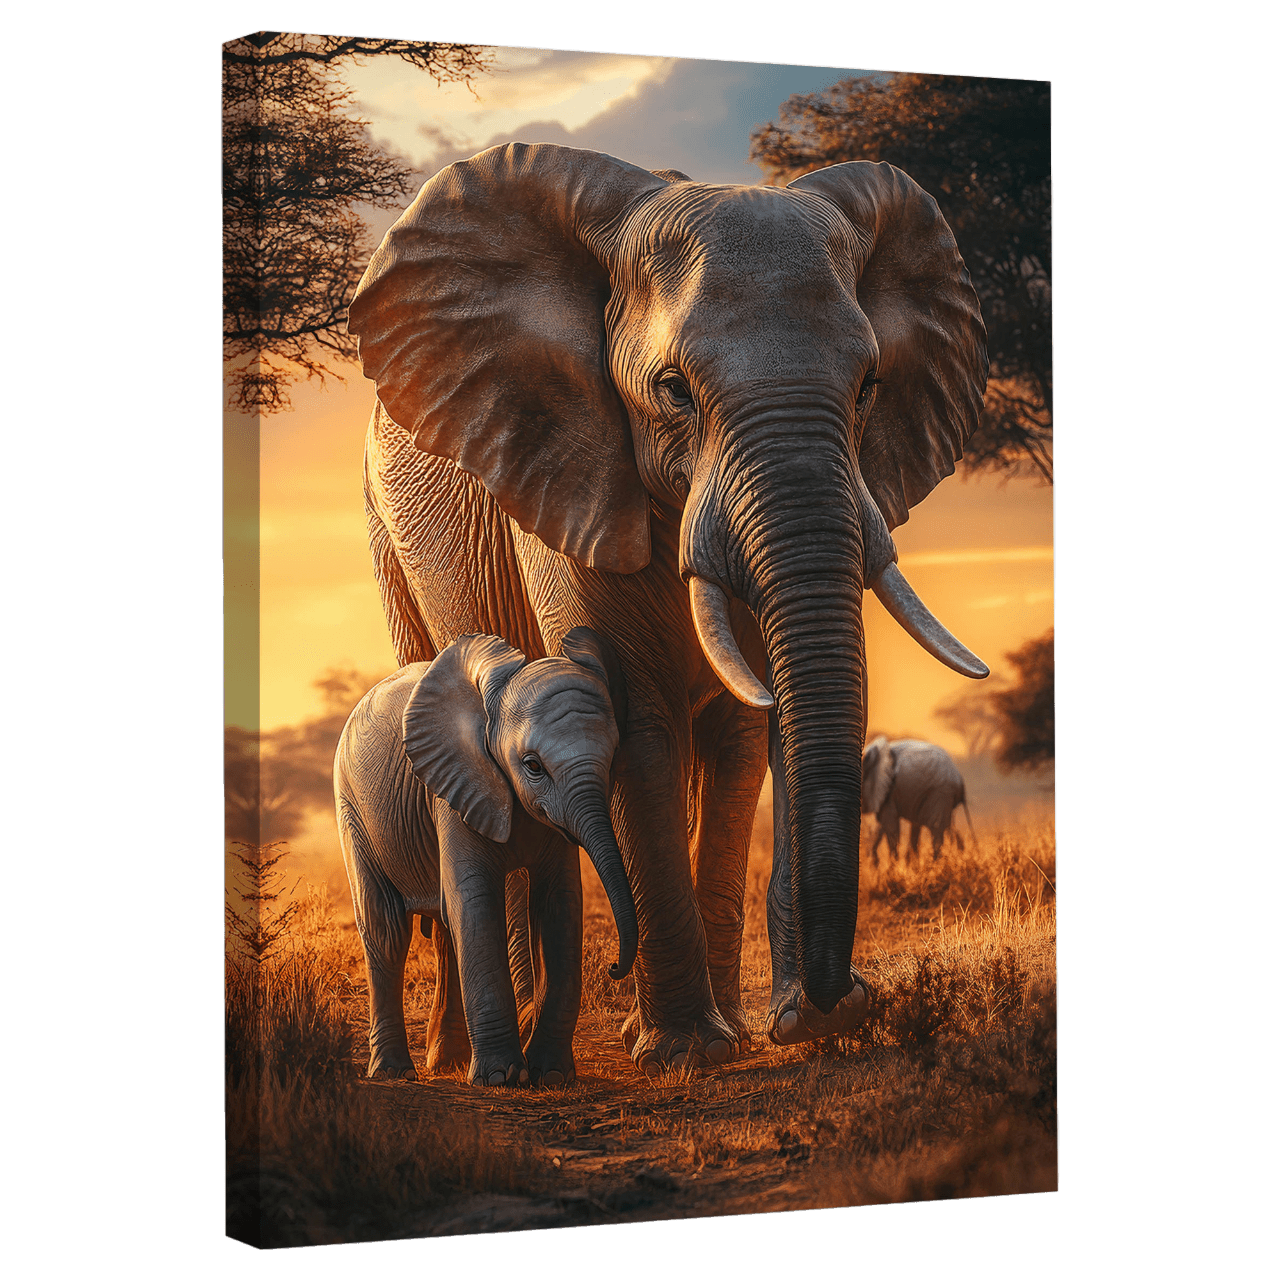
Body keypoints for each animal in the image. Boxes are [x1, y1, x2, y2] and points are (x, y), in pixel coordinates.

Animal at [333, 628, 636, 1087]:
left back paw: (447, 1062)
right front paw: (501, 1078)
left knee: (443, 927)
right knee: (386, 931)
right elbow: (475, 902)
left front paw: (551, 1075)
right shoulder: (452, 786)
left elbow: (560, 902)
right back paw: (393, 1072)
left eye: (615, 752)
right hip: (353, 809)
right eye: (533, 766)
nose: (616, 967)